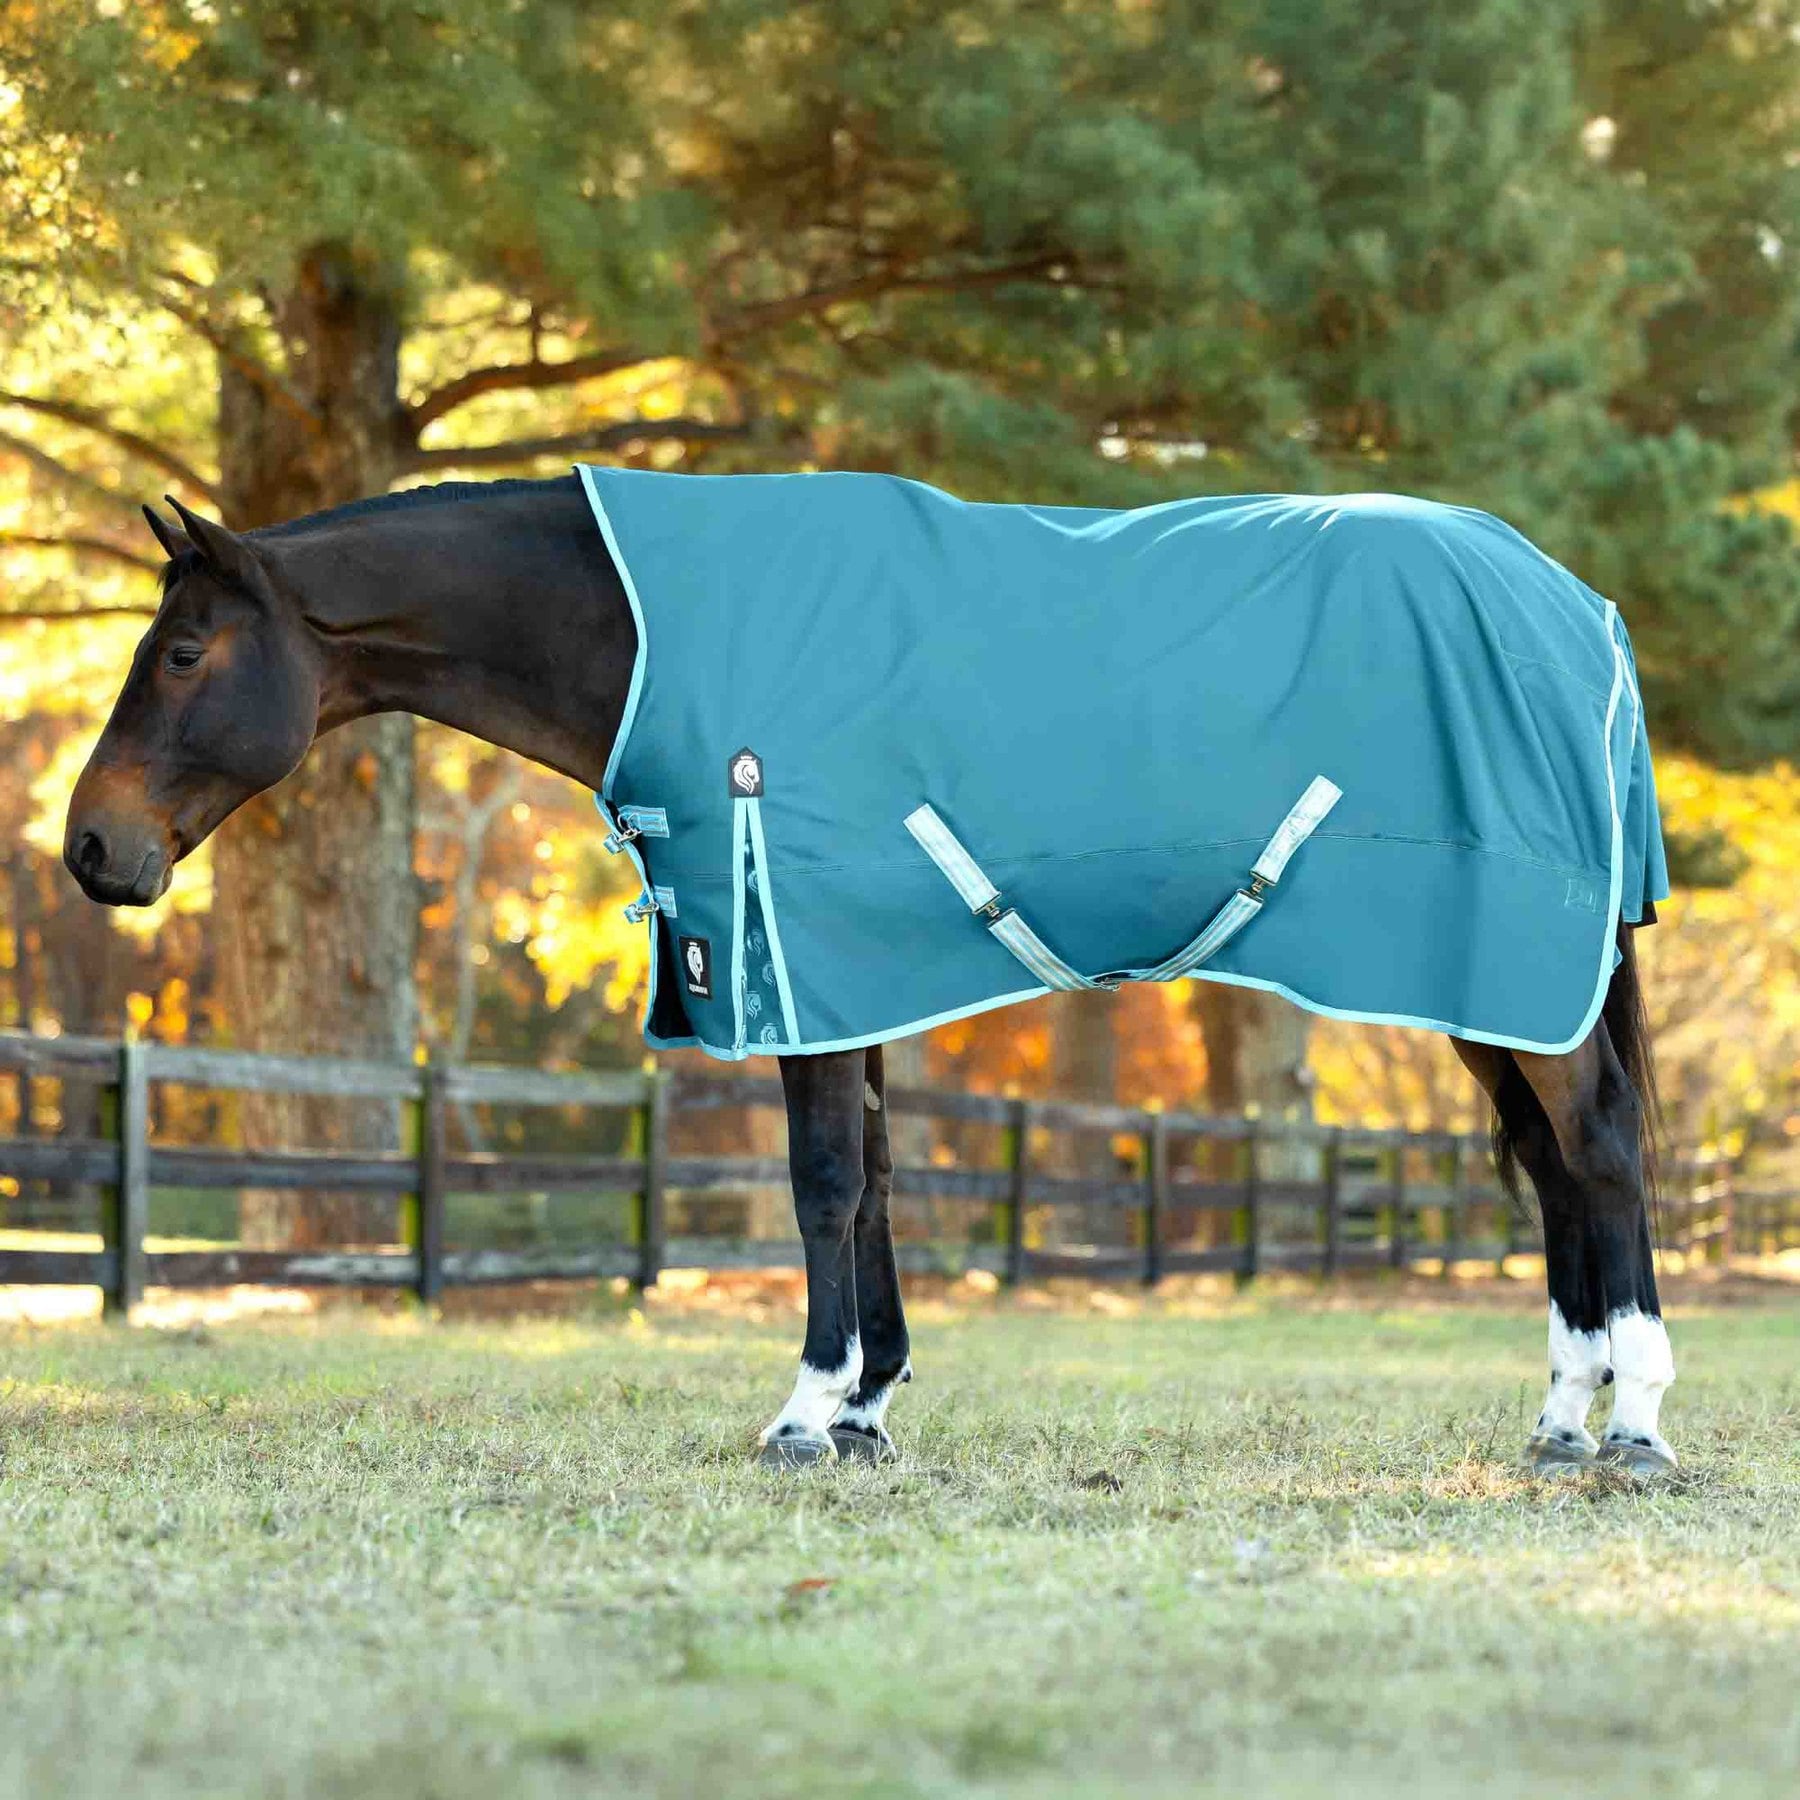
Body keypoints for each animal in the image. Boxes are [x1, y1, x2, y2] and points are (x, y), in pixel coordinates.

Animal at [63, 476, 1677, 1477]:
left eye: (185, 651)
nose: (90, 848)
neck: (653, 631)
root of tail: (1576, 609)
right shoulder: (854, 970)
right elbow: (882, 1175)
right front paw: (870, 1411)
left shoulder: (802, 951)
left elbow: (825, 1179)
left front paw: (806, 1412)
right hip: (1483, 985)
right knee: (1557, 1168)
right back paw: (1562, 1420)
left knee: (1596, 1149)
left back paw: (1638, 1426)